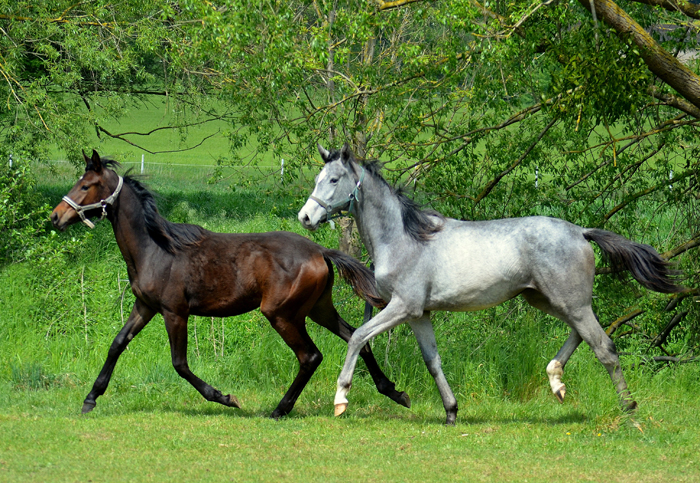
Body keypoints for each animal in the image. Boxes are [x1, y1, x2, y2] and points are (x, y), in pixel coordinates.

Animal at [50, 149, 410, 418]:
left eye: (87, 185)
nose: (55, 217)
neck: (155, 249)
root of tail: (320, 250)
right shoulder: (145, 306)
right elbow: (117, 344)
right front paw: (91, 398)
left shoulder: (174, 312)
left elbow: (179, 364)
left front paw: (225, 398)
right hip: (317, 308)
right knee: (356, 337)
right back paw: (394, 392)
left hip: (282, 314)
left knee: (310, 356)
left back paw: (280, 409)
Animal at [296, 143, 684, 424]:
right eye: (318, 177)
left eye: (333, 180)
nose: (306, 217)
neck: (405, 237)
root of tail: (580, 231)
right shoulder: (419, 314)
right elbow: (432, 361)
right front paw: (451, 413)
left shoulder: (402, 306)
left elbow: (358, 337)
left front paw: (341, 399)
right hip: (546, 300)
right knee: (581, 334)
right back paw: (556, 381)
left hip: (568, 301)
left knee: (605, 347)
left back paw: (629, 411)